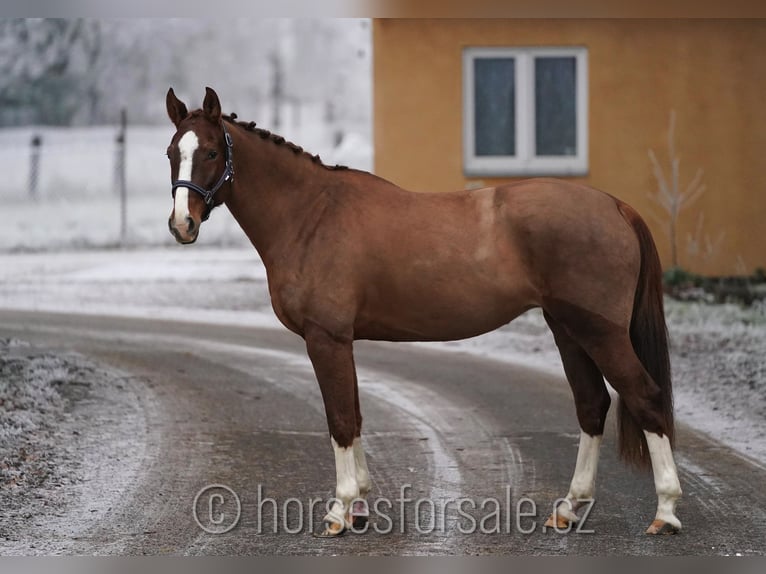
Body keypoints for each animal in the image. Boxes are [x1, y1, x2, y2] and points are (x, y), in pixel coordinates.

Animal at [165, 88, 680, 536]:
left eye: (210, 152)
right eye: (173, 152)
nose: (182, 224)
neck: (311, 215)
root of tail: (615, 206)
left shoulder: (326, 338)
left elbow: (340, 420)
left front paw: (340, 511)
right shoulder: (342, 341)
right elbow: (354, 415)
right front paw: (359, 506)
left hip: (600, 332)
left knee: (645, 397)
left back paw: (666, 513)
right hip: (568, 329)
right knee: (592, 406)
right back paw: (569, 510)